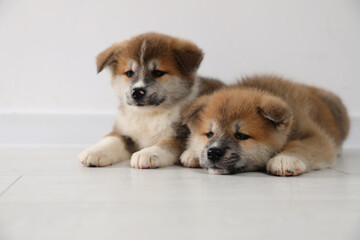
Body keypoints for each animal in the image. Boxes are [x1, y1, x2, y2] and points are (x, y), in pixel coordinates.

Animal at [79, 32, 225, 169]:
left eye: (158, 73)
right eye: (129, 73)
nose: (137, 92)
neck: (148, 116)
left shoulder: (183, 135)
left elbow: (167, 143)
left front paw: (148, 153)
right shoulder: (125, 131)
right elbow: (113, 139)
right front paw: (96, 151)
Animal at [181, 75, 350, 176]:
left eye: (241, 136)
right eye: (209, 134)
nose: (213, 152)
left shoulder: (316, 136)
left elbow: (300, 145)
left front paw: (285, 158)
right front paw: (192, 153)